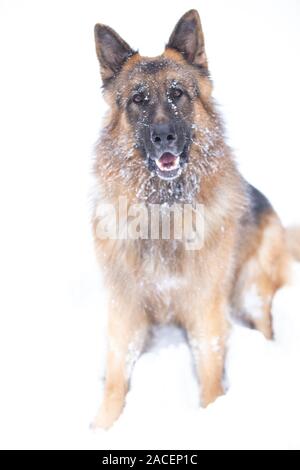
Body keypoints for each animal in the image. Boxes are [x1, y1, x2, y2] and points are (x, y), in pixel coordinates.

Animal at [91, 9, 300, 428]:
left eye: (177, 94)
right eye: (138, 99)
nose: (164, 137)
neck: (164, 209)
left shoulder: (206, 307)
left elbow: (209, 370)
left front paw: (211, 414)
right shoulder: (126, 308)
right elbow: (117, 373)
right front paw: (102, 425)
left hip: (250, 289)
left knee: (265, 325)